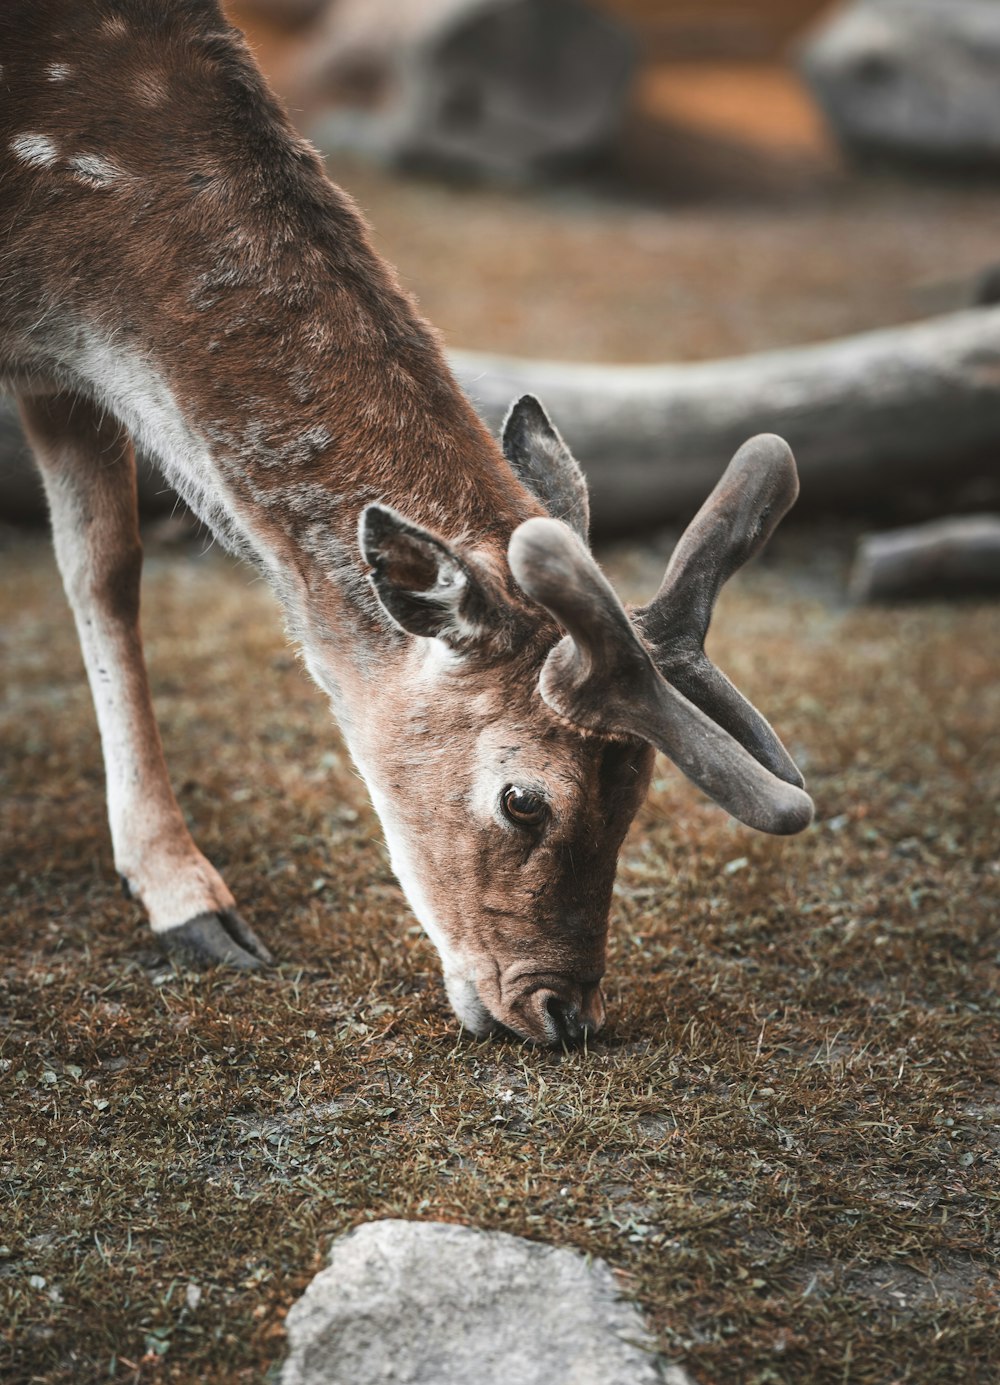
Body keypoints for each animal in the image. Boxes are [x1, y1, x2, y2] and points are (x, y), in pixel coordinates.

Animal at [0, 0, 808, 1041]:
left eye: (637, 792)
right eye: (523, 800)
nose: (563, 1012)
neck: (63, 263)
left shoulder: (60, 375)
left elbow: (103, 568)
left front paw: (179, 896)